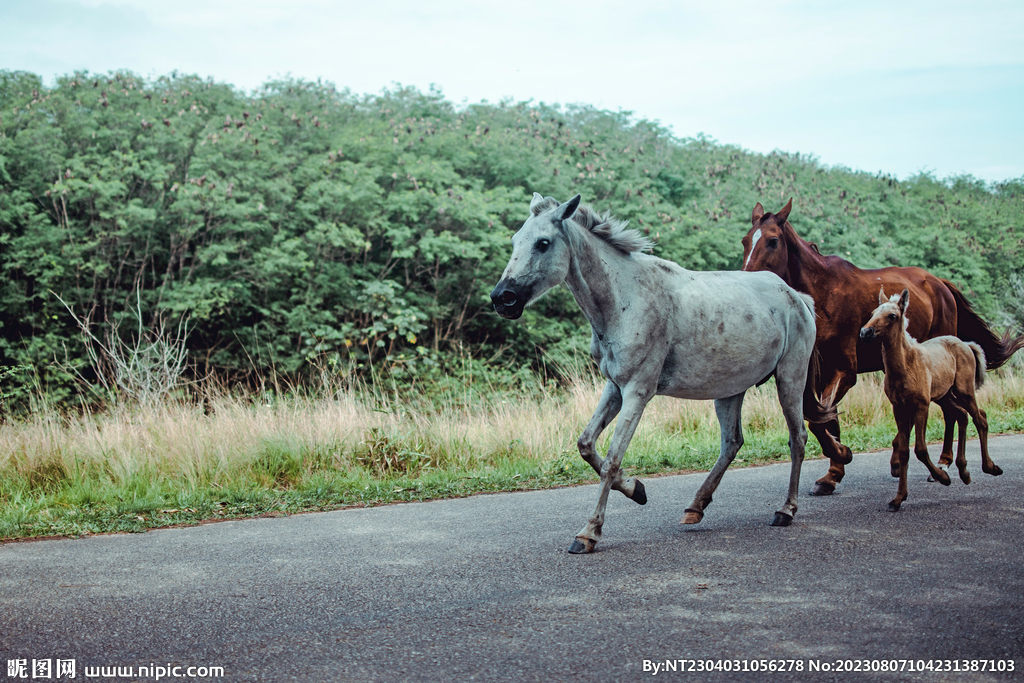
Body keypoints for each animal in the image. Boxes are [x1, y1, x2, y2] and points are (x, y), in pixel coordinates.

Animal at [491, 193, 836, 554]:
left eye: (543, 243)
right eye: (515, 240)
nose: (502, 298)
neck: (625, 299)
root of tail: (797, 297)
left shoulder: (638, 392)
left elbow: (612, 458)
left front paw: (588, 532)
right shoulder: (615, 388)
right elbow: (586, 444)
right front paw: (636, 489)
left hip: (790, 379)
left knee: (797, 439)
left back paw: (785, 510)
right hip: (730, 390)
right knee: (732, 443)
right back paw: (695, 507)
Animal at [859, 287, 1002, 511]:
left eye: (892, 316)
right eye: (874, 312)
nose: (865, 332)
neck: (905, 366)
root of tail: (966, 344)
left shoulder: (921, 406)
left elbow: (920, 449)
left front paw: (943, 477)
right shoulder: (898, 408)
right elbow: (904, 451)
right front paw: (898, 499)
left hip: (964, 390)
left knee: (980, 418)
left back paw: (990, 467)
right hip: (945, 395)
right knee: (963, 415)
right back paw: (964, 471)